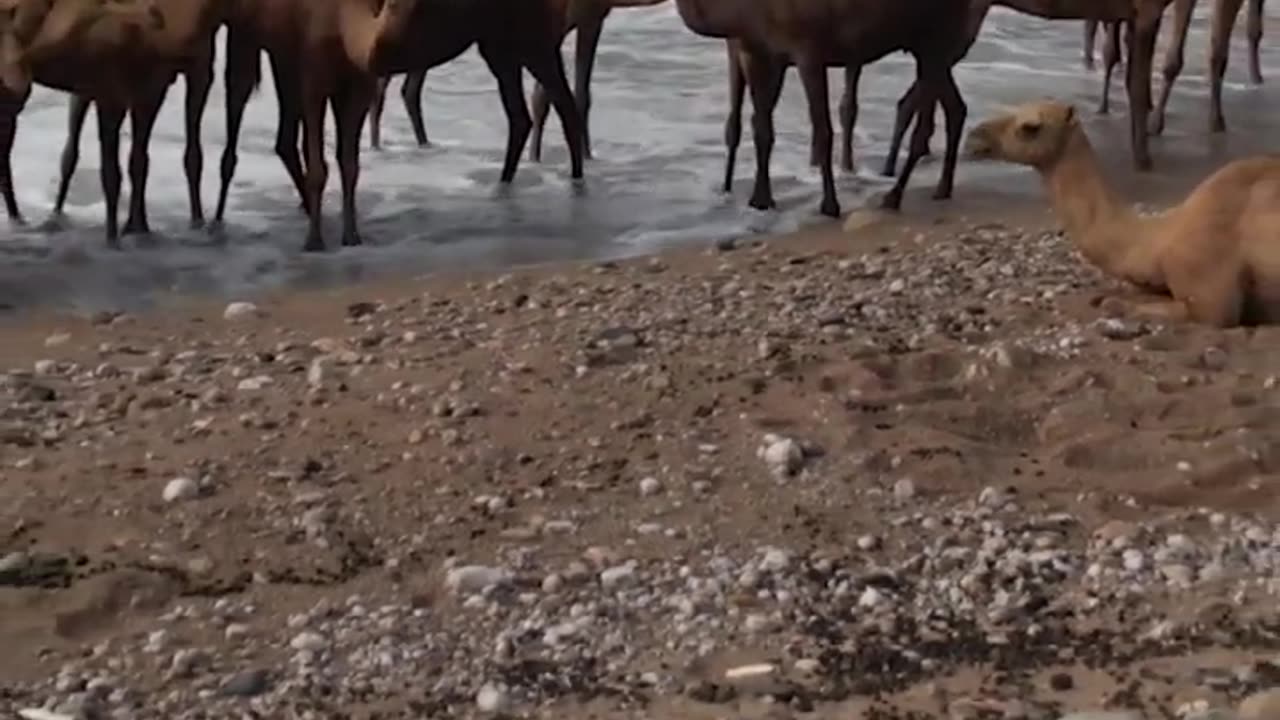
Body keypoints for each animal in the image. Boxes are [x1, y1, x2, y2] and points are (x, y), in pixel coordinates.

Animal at [215, 0, 586, 251]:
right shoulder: (314, 70)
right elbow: (324, 165)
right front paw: (319, 240)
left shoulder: (357, 80)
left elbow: (349, 163)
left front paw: (348, 236)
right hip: (502, 42)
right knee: (527, 112)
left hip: (524, 36)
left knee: (554, 103)